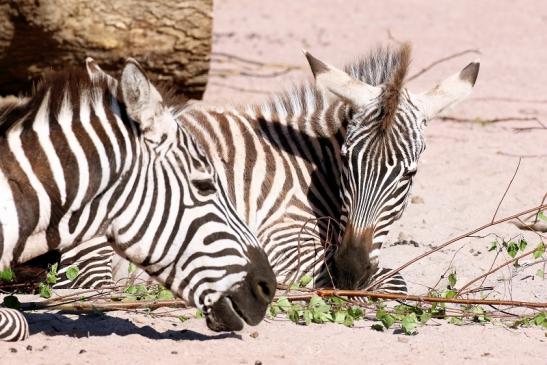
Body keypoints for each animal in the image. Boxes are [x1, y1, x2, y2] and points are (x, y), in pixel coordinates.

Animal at [54, 43, 480, 292]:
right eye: (347, 161)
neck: (312, 169)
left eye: (409, 176)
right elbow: (393, 283)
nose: (350, 271)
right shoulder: (283, 238)